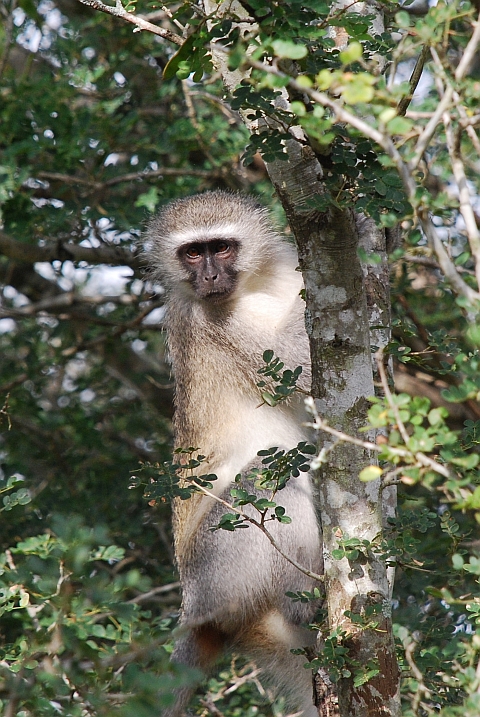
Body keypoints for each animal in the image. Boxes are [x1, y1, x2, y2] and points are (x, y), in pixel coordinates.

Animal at [147, 191, 322, 717]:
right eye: (191, 253)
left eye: (220, 247)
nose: (208, 278)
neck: (256, 284)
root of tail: (195, 610)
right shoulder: (215, 322)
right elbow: (298, 362)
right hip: (222, 567)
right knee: (273, 469)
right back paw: (306, 596)